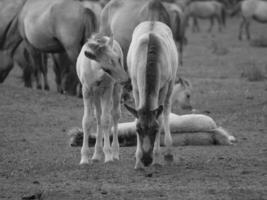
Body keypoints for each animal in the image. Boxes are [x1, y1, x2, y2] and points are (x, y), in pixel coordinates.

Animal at [76, 34, 129, 165]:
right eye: (107, 64)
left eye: (118, 59)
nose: (125, 79)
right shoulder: (87, 90)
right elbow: (87, 121)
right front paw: (84, 158)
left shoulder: (108, 89)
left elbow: (106, 120)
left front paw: (108, 156)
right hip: (96, 95)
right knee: (98, 116)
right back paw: (96, 154)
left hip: (115, 90)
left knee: (114, 115)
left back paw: (114, 153)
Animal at [124, 21, 179, 169]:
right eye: (138, 130)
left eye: (155, 130)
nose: (146, 160)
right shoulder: (135, 87)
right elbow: (136, 115)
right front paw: (137, 161)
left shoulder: (163, 87)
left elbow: (159, 117)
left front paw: (157, 158)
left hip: (171, 84)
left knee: (166, 110)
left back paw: (169, 152)